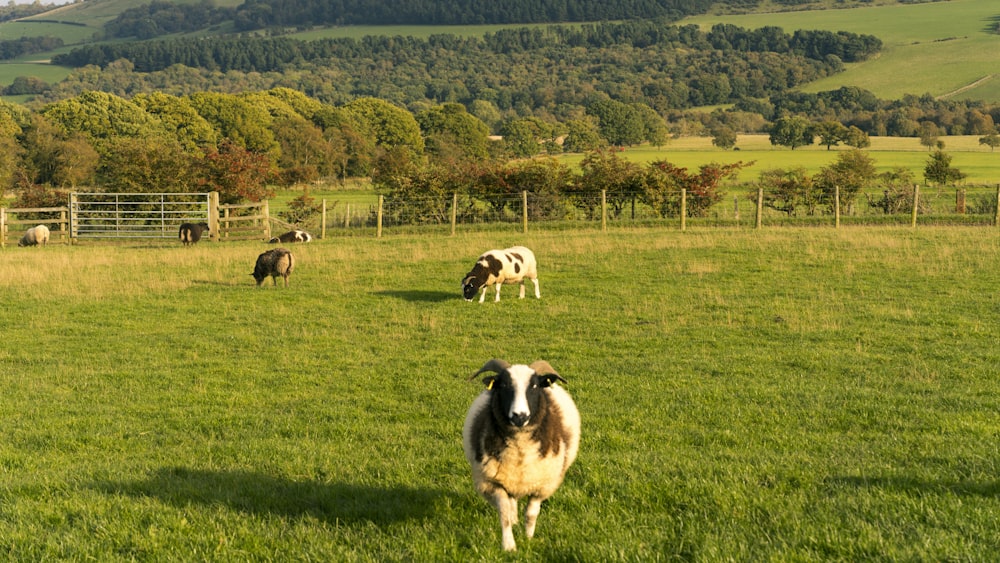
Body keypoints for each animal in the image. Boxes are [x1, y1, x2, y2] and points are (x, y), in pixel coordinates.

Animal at [464, 362, 584, 552]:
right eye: (504, 385)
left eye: (534, 386)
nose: (519, 416)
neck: (520, 451)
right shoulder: (493, 482)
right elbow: (504, 513)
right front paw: (509, 546)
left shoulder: (541, 485)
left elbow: (531, 514)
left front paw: (528, 538)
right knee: (511, 503)